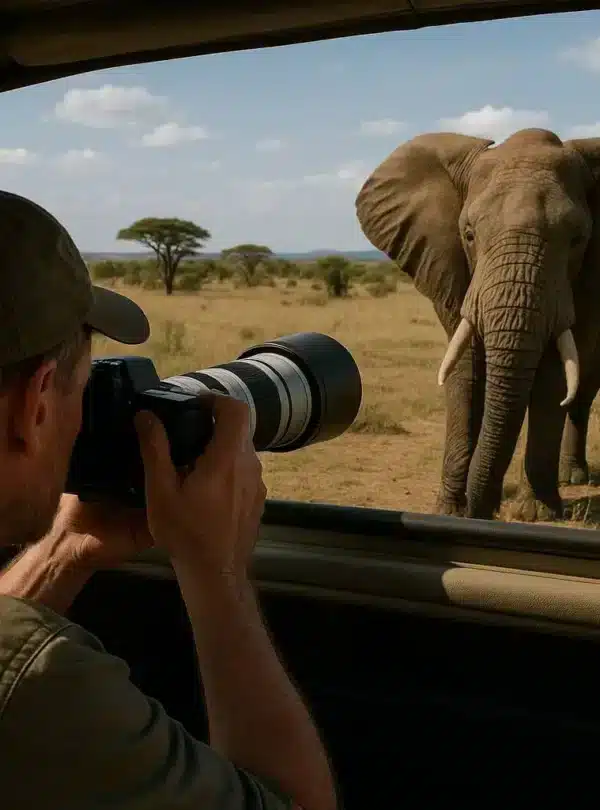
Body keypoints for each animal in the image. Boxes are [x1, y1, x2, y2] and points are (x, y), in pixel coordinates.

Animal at [355, 128, 600, 522]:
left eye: (577, 240)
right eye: (468, 235)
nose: (483, 509)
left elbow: (554, 374)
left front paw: (536, 515)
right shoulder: (448, 264)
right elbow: (466, 365)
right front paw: (450, 510)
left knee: (584, 388)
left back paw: (573, 477)